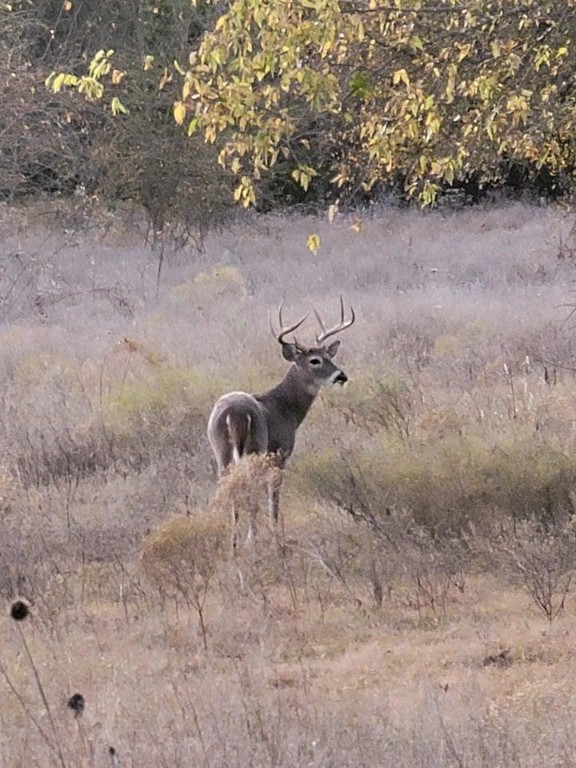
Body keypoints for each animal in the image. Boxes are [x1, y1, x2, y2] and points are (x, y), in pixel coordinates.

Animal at [208, 296, 356, 548]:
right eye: (314, 360)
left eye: (329, 357)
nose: (341, 376)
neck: (287, 409)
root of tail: (234, 413)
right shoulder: (281, 454)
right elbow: (273, 500)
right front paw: (276, 537)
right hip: (255, 448)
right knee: (249, 491)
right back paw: (251, 539)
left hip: (222, 451)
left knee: (231, 489)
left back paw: (234, 543)